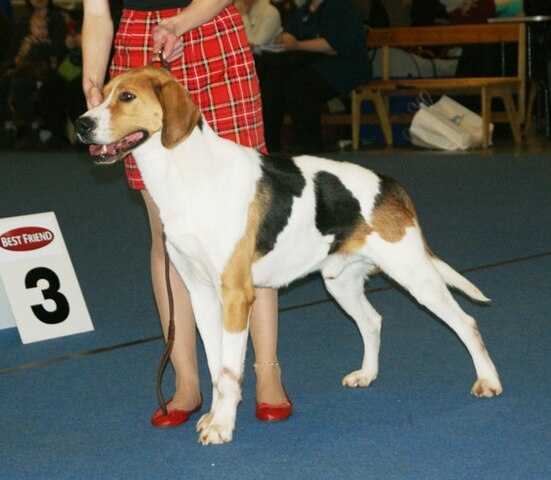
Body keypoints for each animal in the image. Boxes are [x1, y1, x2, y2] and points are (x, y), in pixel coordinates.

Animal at [76, 65, 504, 444]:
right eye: (103, 93)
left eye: (127, 97)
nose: (82, 124)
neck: (185, 173)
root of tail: (389, 184)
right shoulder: (200, 293)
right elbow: (215, 365)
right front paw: (214, 415)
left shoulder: (236, 296)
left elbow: (230, 369)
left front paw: (222, 426)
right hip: (340, 282)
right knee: (372, 322)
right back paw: (366, 374)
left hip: (416, 276)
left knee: (467, 323)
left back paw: (488, 381)